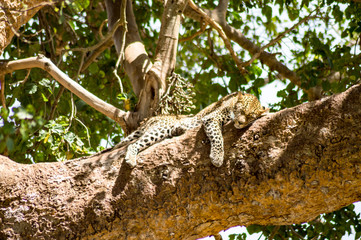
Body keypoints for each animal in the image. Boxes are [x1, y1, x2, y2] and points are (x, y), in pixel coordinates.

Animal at [114, 91, 268, 168]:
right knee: (133, 144)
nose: (240, 122)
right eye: (241, 111)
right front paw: (217, 157)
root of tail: (150, 119)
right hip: (160, 128)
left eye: (250, 116)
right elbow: (218, 138)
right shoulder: (211, 117)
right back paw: (131, 159)